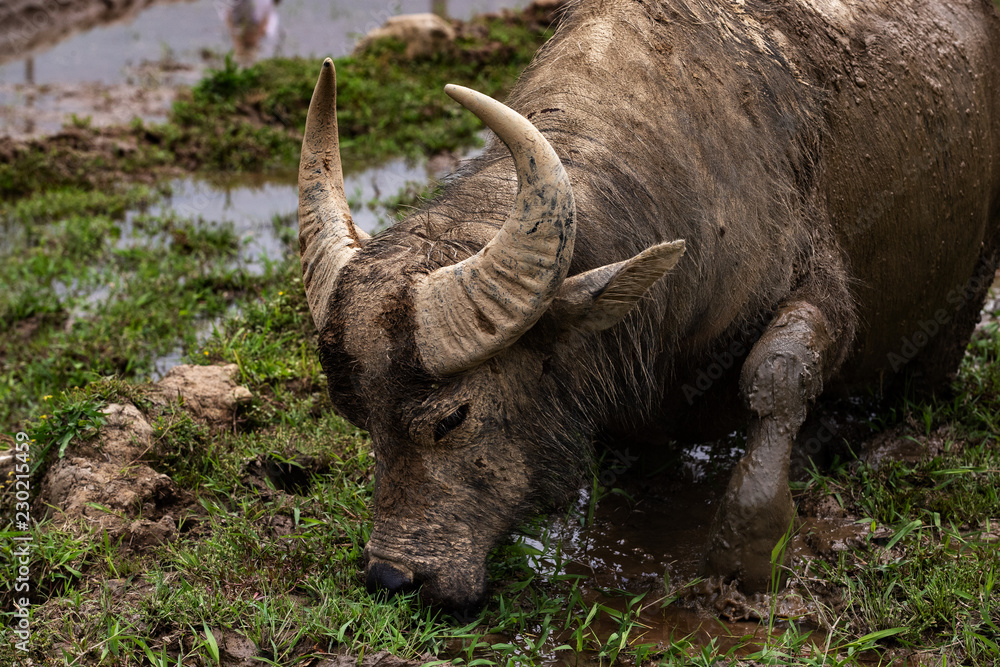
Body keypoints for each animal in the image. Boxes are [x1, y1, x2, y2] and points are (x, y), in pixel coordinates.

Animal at [297, 0, 1000, 611]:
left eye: (451, 418)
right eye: (359, 418)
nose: (392, 577)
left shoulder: (822, 293)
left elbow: (777, 374)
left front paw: (750, 549)